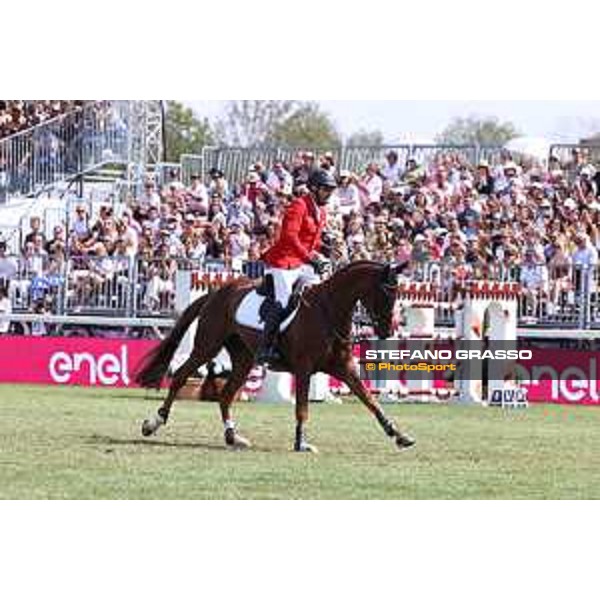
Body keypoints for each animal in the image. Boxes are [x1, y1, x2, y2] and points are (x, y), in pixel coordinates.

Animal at [135, 260, 414, 452]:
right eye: (386, 293)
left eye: (399, 293)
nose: (387, 330)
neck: (328, 310)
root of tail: (217, 292)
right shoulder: (304, 368)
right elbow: (302, 409)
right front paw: (301, 444)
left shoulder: (344, 368)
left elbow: (370, 401)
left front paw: (399, 435)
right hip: (207, 347)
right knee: (181, 376)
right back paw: (153, 423)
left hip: (244, 359)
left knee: (226, 395)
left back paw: (233, 436)